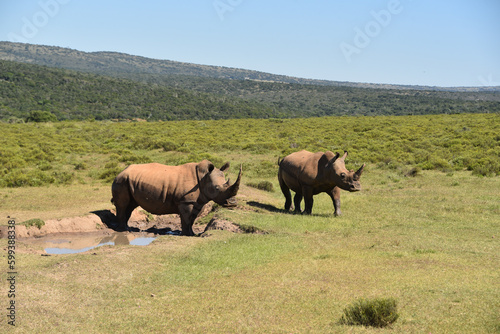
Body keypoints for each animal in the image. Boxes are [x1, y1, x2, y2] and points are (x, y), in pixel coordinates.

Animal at [111, 160, 242, 236]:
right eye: (217, 188)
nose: (232, 203)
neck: (204, 177)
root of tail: (120, 171)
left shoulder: (198, 202)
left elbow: (192, 219)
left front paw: (192, 234)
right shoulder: (185, 201)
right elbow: (186, 218)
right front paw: (186, 235)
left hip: (129, 180)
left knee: (130, 206)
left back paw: (128, 228)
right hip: (121, 180)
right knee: (123, 205)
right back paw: (124, 230)